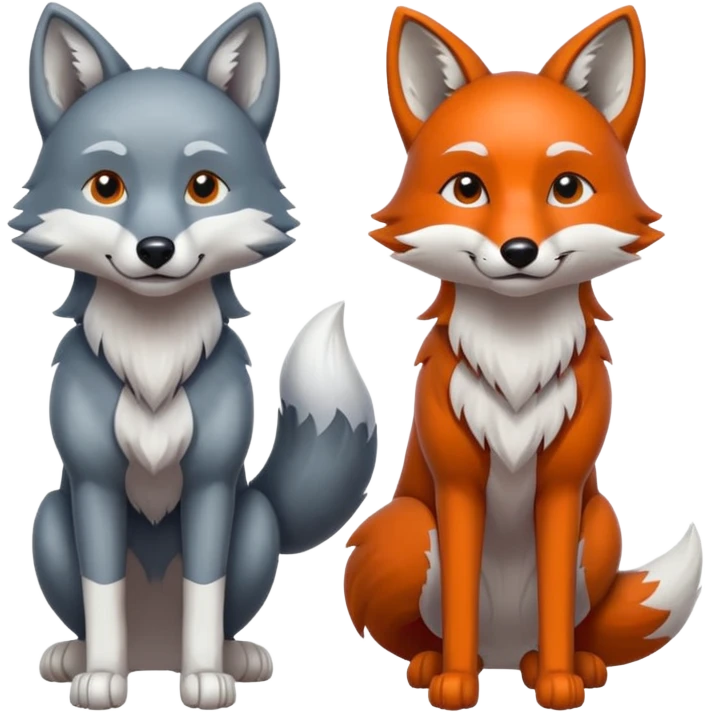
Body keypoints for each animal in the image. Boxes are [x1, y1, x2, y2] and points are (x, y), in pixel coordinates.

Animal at [13, 3, 377, 710]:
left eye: (203, 186)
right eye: (106, 186)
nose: (155, 250)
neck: (154, 357)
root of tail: (155, 654)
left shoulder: (213, 484)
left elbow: (205, 594)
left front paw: (206, 675)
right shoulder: (93, 485)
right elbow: (103, 596)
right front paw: (102, 674)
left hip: (255, 522)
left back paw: (234, 658)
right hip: (48, 521)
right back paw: (77, 657)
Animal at [343, 5, 702, 712]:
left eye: (566, 188)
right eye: (467, 188)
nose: (518, 250)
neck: (514, 364)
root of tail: (504, 649)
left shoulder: (562, 485)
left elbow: (559, 594)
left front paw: (561, 681)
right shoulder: (457, 481)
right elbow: (457, 594)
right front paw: (455, 682)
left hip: (601, 527)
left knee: (565, 624)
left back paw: (560, 664)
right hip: (405, 530)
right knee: (432, 630)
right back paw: (437, 664)